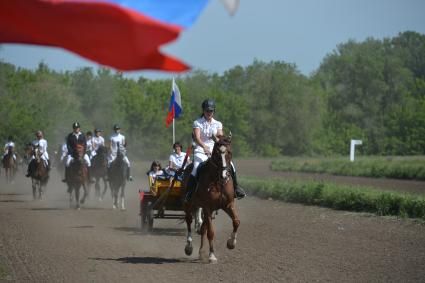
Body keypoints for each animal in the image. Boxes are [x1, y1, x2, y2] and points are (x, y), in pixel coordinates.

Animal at [183, 135, 238, 264]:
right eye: (217, 154)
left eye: (229, 152)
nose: (224, 175)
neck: (218, 182)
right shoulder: (208, 207)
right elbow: (211, 232)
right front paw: (212, 255)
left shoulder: (228, 205)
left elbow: (236, 222)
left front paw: (231, 243)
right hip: (189, 205)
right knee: (189, 221)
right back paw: (189, 247)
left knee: (203, 228)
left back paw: (201, 253)